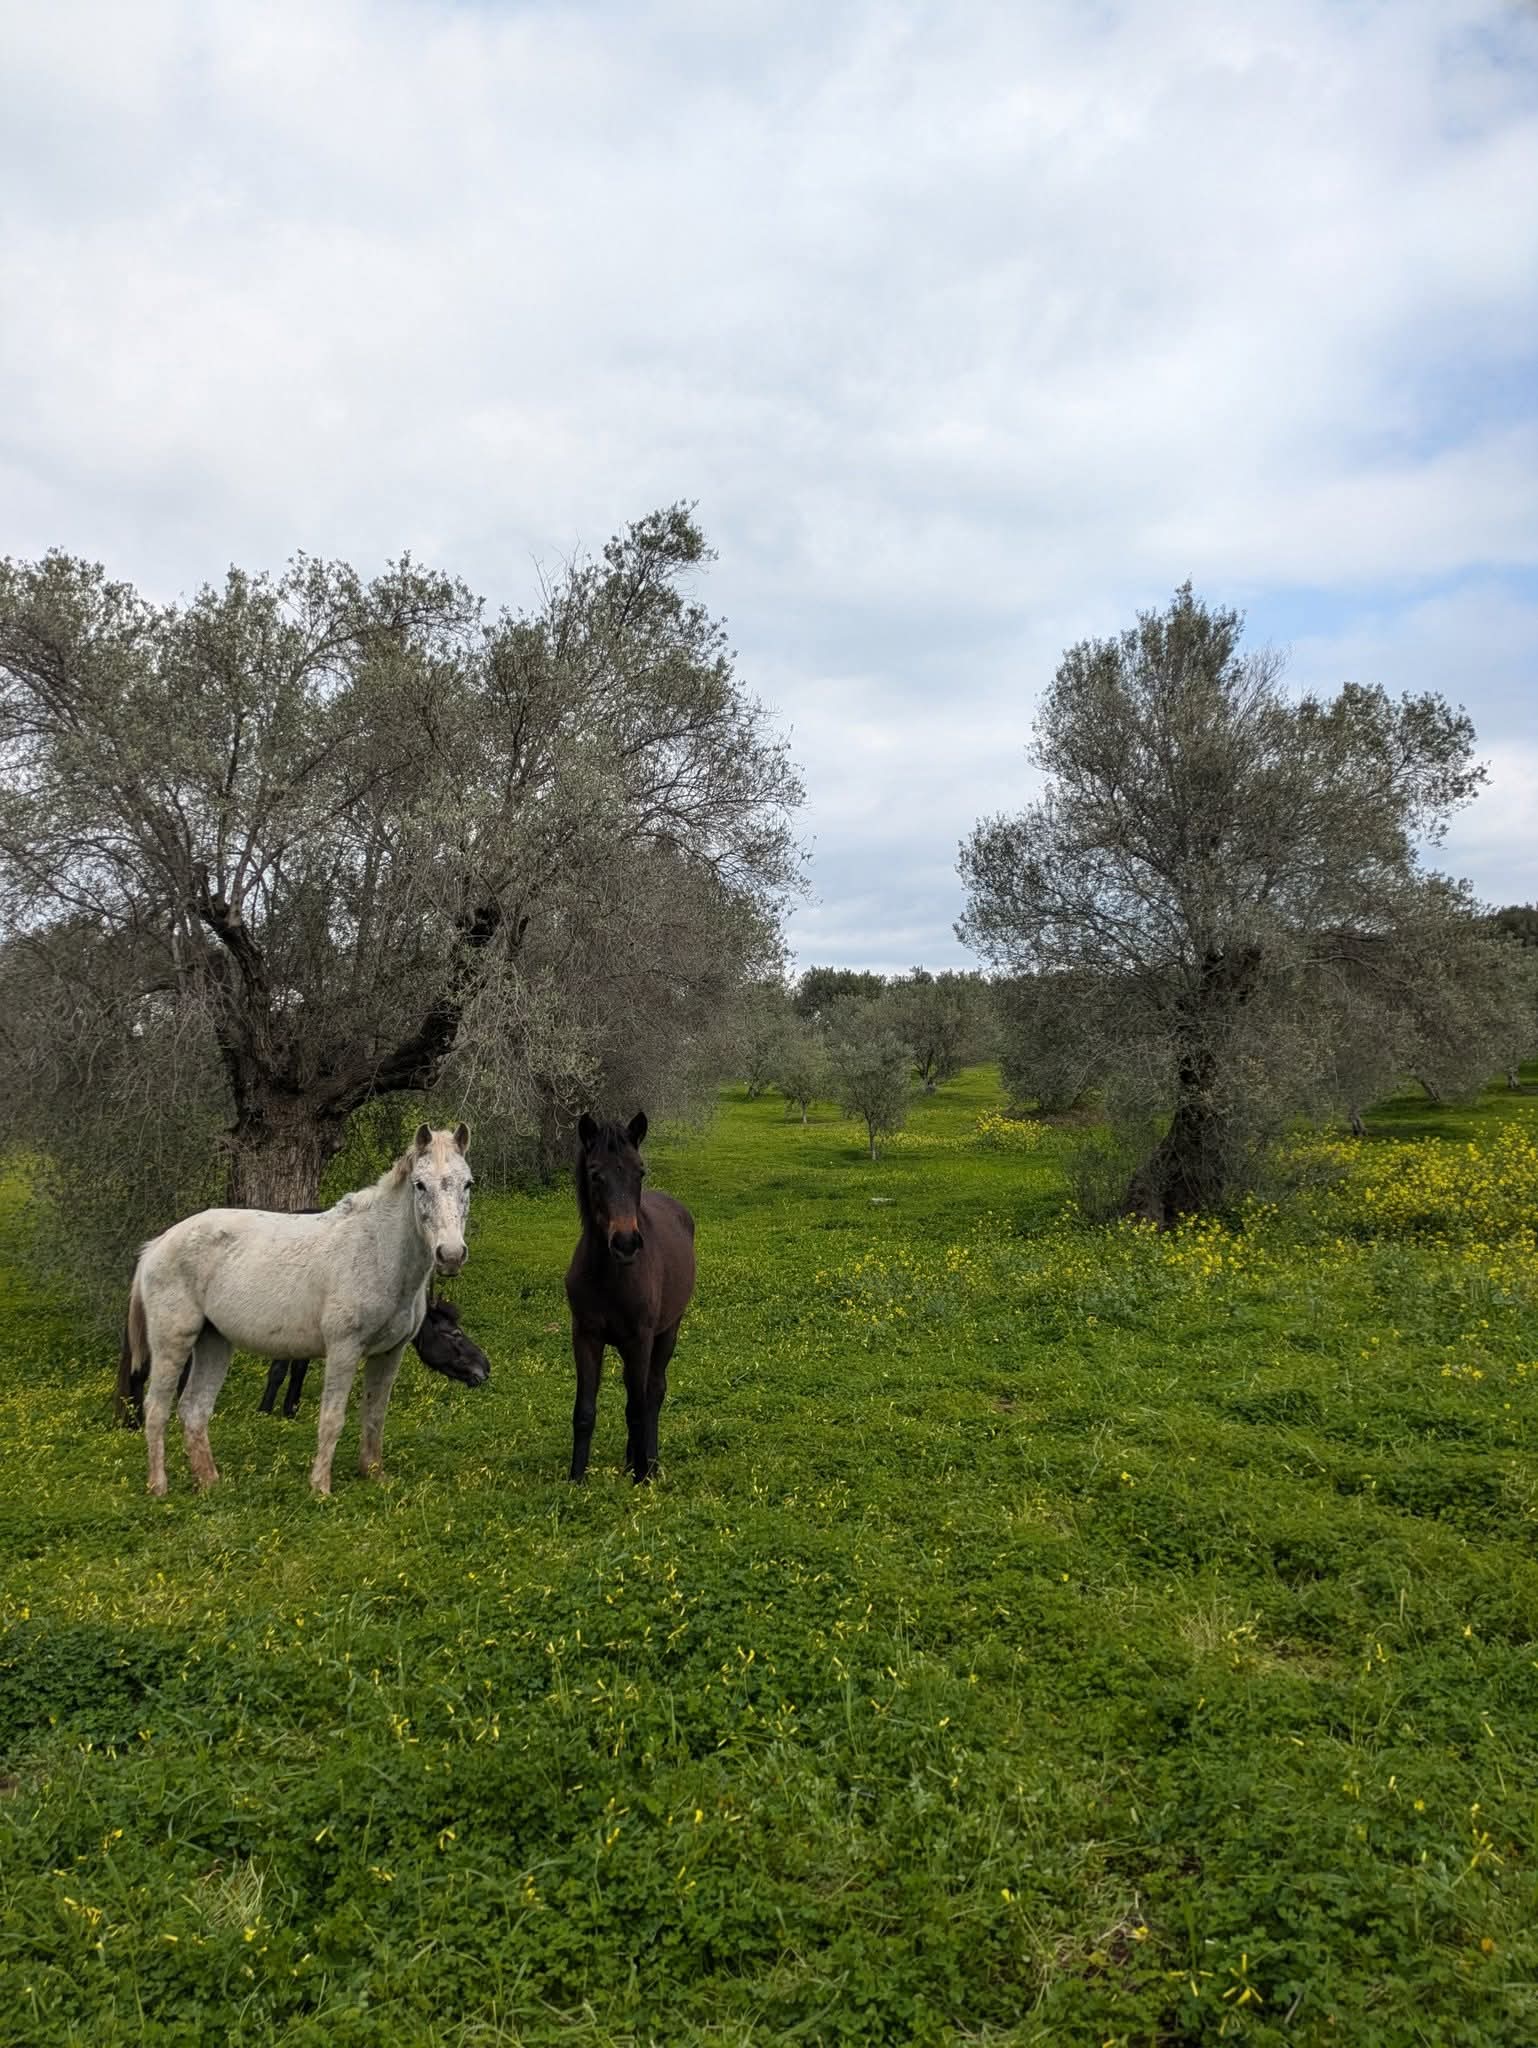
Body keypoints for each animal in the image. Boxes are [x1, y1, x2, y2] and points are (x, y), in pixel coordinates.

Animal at [127, 1123, 474, 1496]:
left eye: (468, 1183)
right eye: (419, 1185)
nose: (450, 1255)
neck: (377, 1250)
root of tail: (157, 1244)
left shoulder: (389, 1354)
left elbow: (375, 1413)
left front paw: (373, 1474)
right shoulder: (343, 1349)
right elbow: (332, 1418)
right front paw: (320, 1487)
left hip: (214, 1341)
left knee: (194, 1408)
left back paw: (210, 1484)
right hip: (173, 1342)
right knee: (157, 1408)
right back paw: (158, 1486)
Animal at [566, 1111, 695, 1484]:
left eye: (640, 1171)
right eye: (596, 1174)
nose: (625, 1243)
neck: (610, 1276)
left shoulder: (640, 1338)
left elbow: (639, 1406)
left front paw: (642, 1477)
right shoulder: (586, 1336)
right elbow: (585, 1410)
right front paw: (576, 1479)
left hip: (667, 1332)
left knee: (653, 1392)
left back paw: (649, 1462)